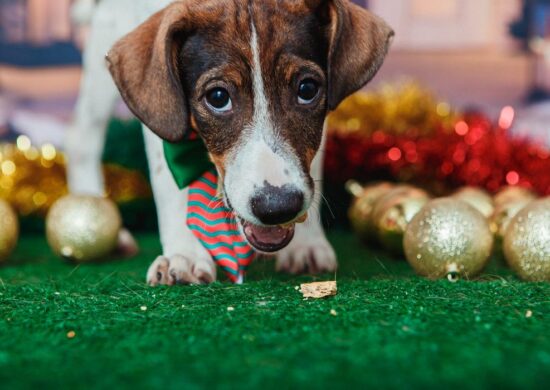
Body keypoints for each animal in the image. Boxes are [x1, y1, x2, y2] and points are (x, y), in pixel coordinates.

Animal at [67, 0, 394, 286]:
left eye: (307, 89)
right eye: (218, 97)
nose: (278, 207)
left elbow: (312, 171)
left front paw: (307, 242)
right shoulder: (162, 109)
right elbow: (169, 183)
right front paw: (184, 253)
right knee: (83, 145)